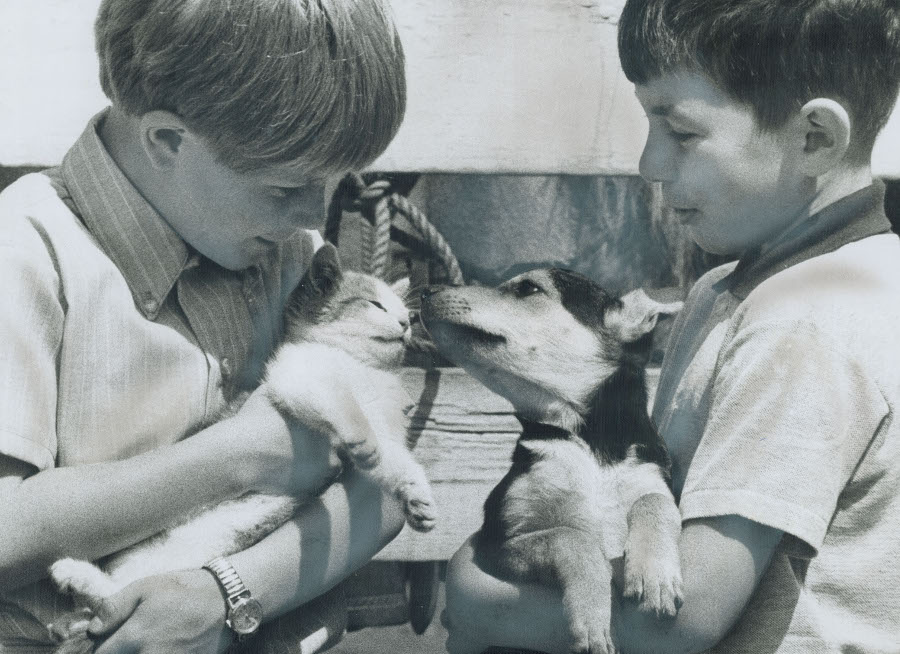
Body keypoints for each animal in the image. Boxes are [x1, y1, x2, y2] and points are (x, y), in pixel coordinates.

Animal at [422, 270, 684, 654]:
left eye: (528, 288)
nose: (425, 290)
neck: (587, 442)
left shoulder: (650, 476)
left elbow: (655, 502)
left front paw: (656, 575)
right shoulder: (497, 544)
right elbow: (569, 536)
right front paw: (592, 617)